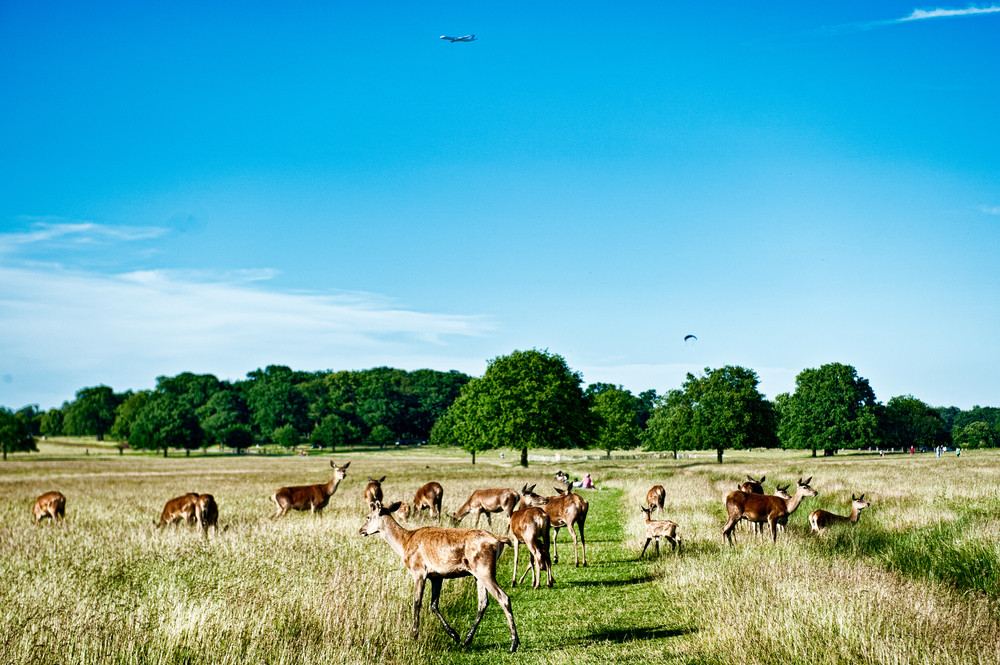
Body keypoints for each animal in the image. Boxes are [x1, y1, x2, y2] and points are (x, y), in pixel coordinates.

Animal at [360, 500, 520, 652]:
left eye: (368, 516)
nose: (361, 530)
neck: (404, 543)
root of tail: (499, 540)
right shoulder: (436, 576)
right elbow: (433, 604)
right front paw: (455, 635)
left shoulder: (418, 571)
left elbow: (417, 602)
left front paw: (414, 635)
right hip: (478, 574)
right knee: (483, 602)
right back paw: (466, 641)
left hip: (484, 569)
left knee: (503, 597)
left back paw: (514, 644)